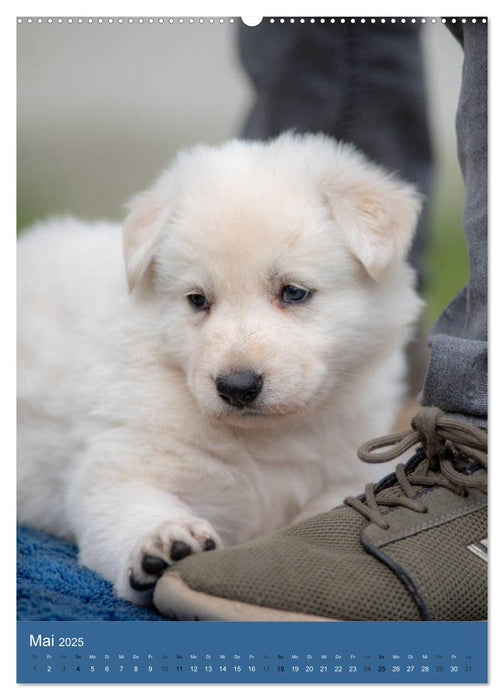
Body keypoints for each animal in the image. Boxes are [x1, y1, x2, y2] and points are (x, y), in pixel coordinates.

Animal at [16, 134, 422, 604]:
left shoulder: (347, 464)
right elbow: (127, 504)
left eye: (294, 292)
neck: (265, 439)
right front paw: (164, 543)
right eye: (197, 299)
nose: (237, 387)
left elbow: (332, 505)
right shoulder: (122, 457)